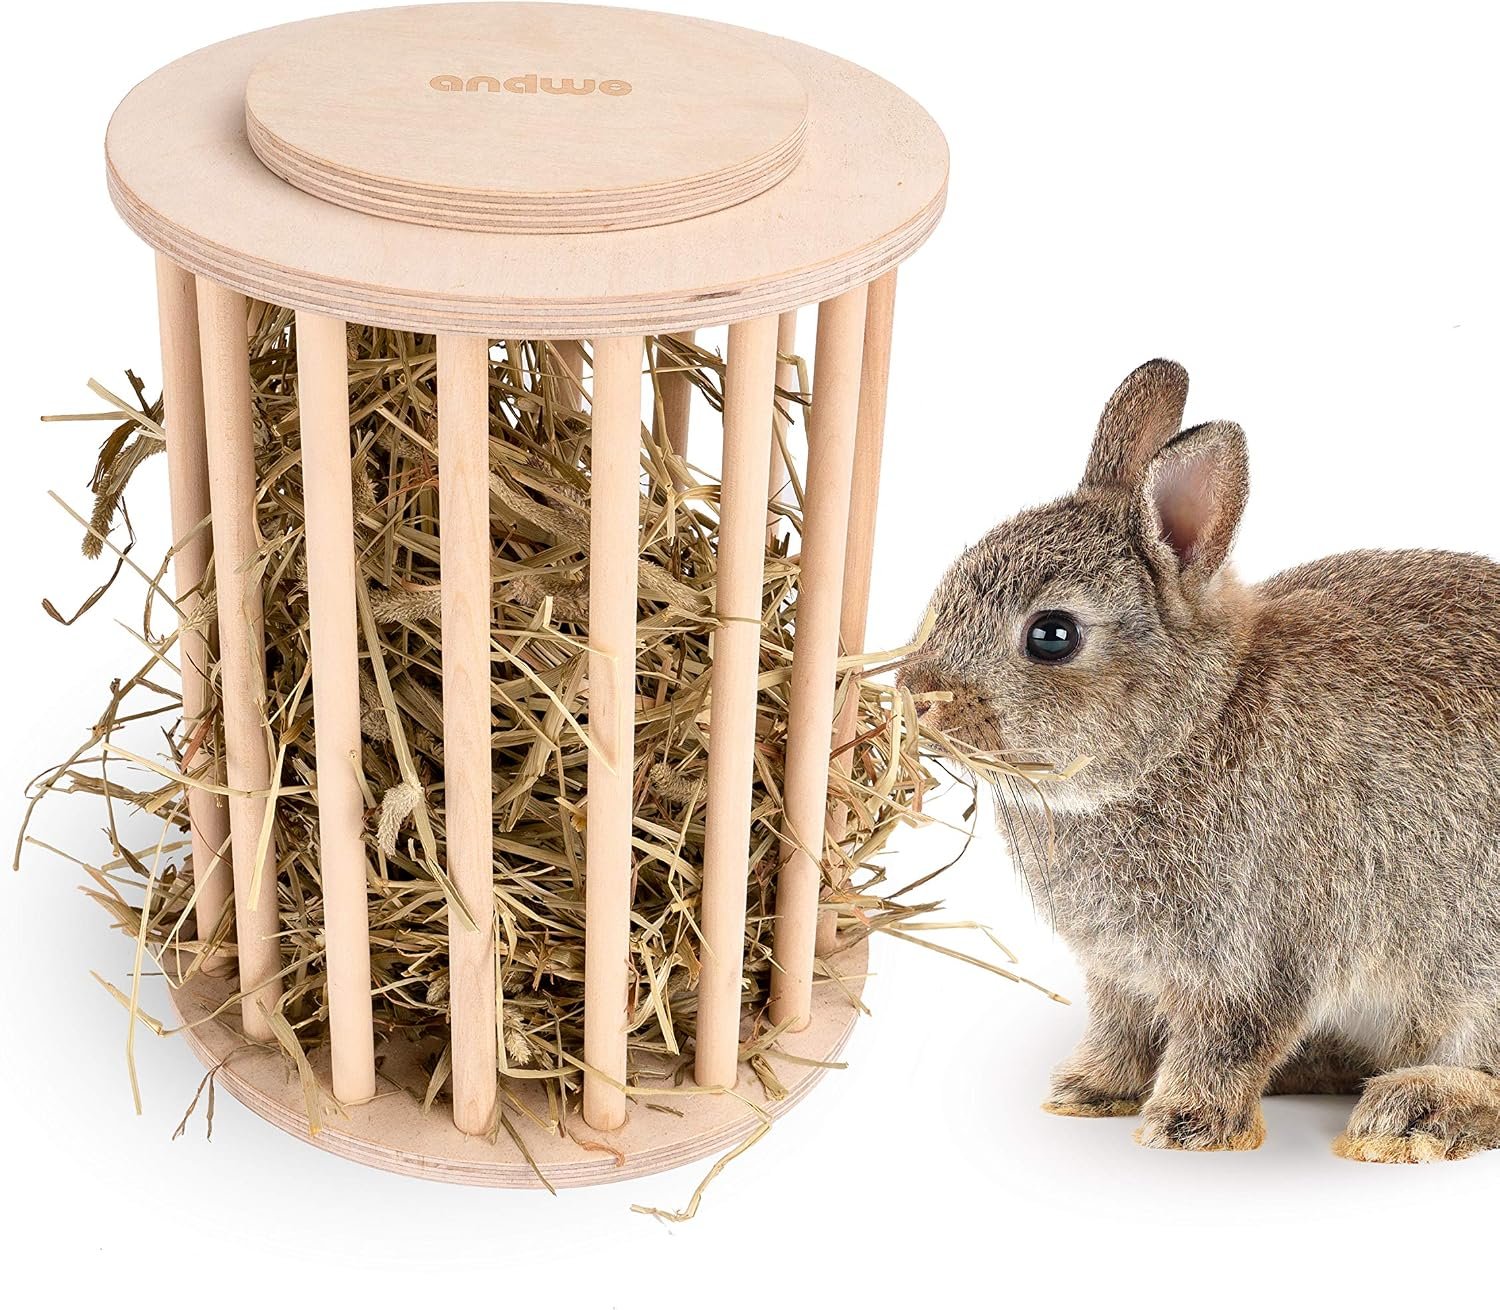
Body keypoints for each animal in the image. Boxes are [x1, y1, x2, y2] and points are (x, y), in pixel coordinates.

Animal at [899, 359, 1500, 1161]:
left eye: (1052, 634)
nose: (915, 695)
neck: (1191, 730)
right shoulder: (1123, 973)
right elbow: (1119, 1029)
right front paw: (1088, 1093)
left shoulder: (1256, 956)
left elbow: (1227, 1041)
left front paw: (1184, 1126)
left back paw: (1411, 1111)